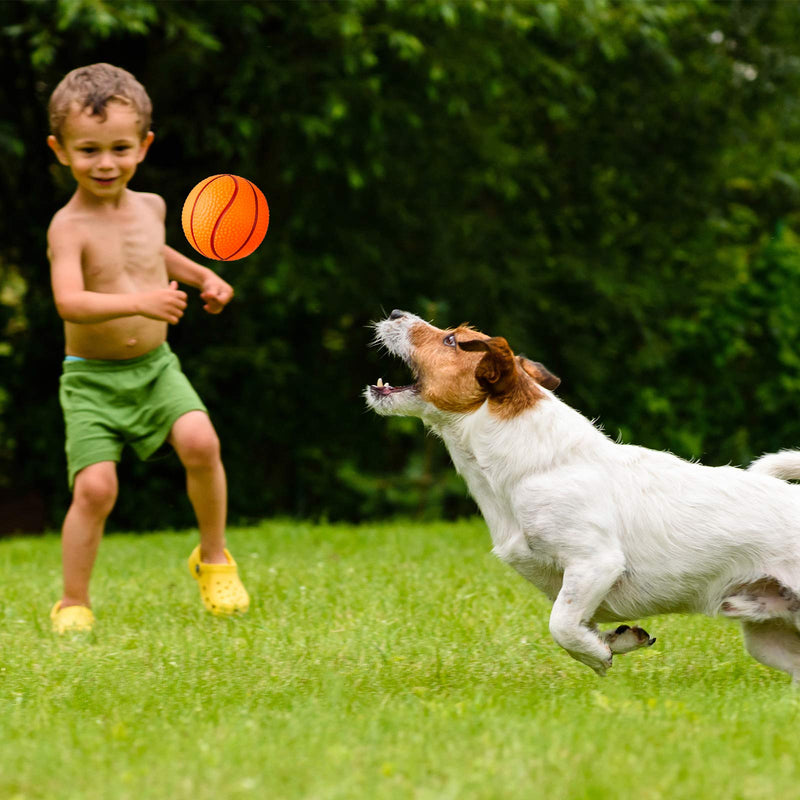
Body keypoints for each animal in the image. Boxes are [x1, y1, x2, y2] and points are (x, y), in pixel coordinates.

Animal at [368, 308, 800, 680]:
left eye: (452, 340)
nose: (395, 313)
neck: (532, 463)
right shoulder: (575, 584)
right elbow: (579, 621)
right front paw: (617, 640)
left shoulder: (595, 563)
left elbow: (561, 625)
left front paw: (597, 654)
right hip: (767, 636)